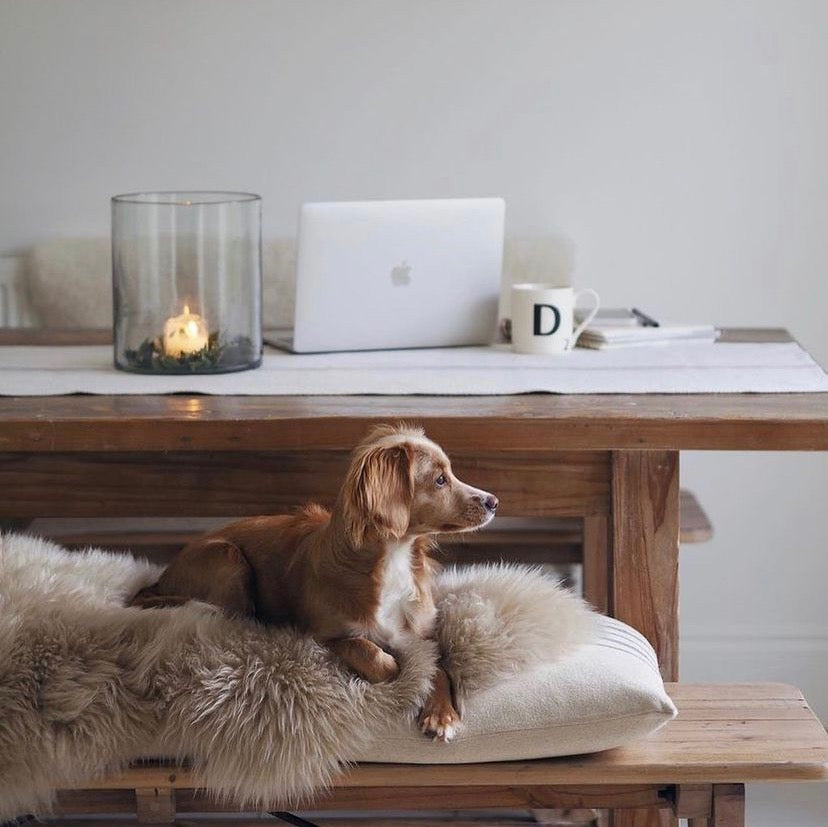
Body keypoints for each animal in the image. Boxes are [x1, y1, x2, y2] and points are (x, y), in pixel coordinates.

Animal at [131, 424, 498, 740]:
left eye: (449, 474)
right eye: (439, 480)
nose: (494, 501)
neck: (392, 559)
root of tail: (163, 578)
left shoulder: (421, 636)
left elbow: (439, 670)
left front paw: (442, 715)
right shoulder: (321, 634)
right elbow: (370, 652)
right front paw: (394, 669)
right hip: (228, 558)